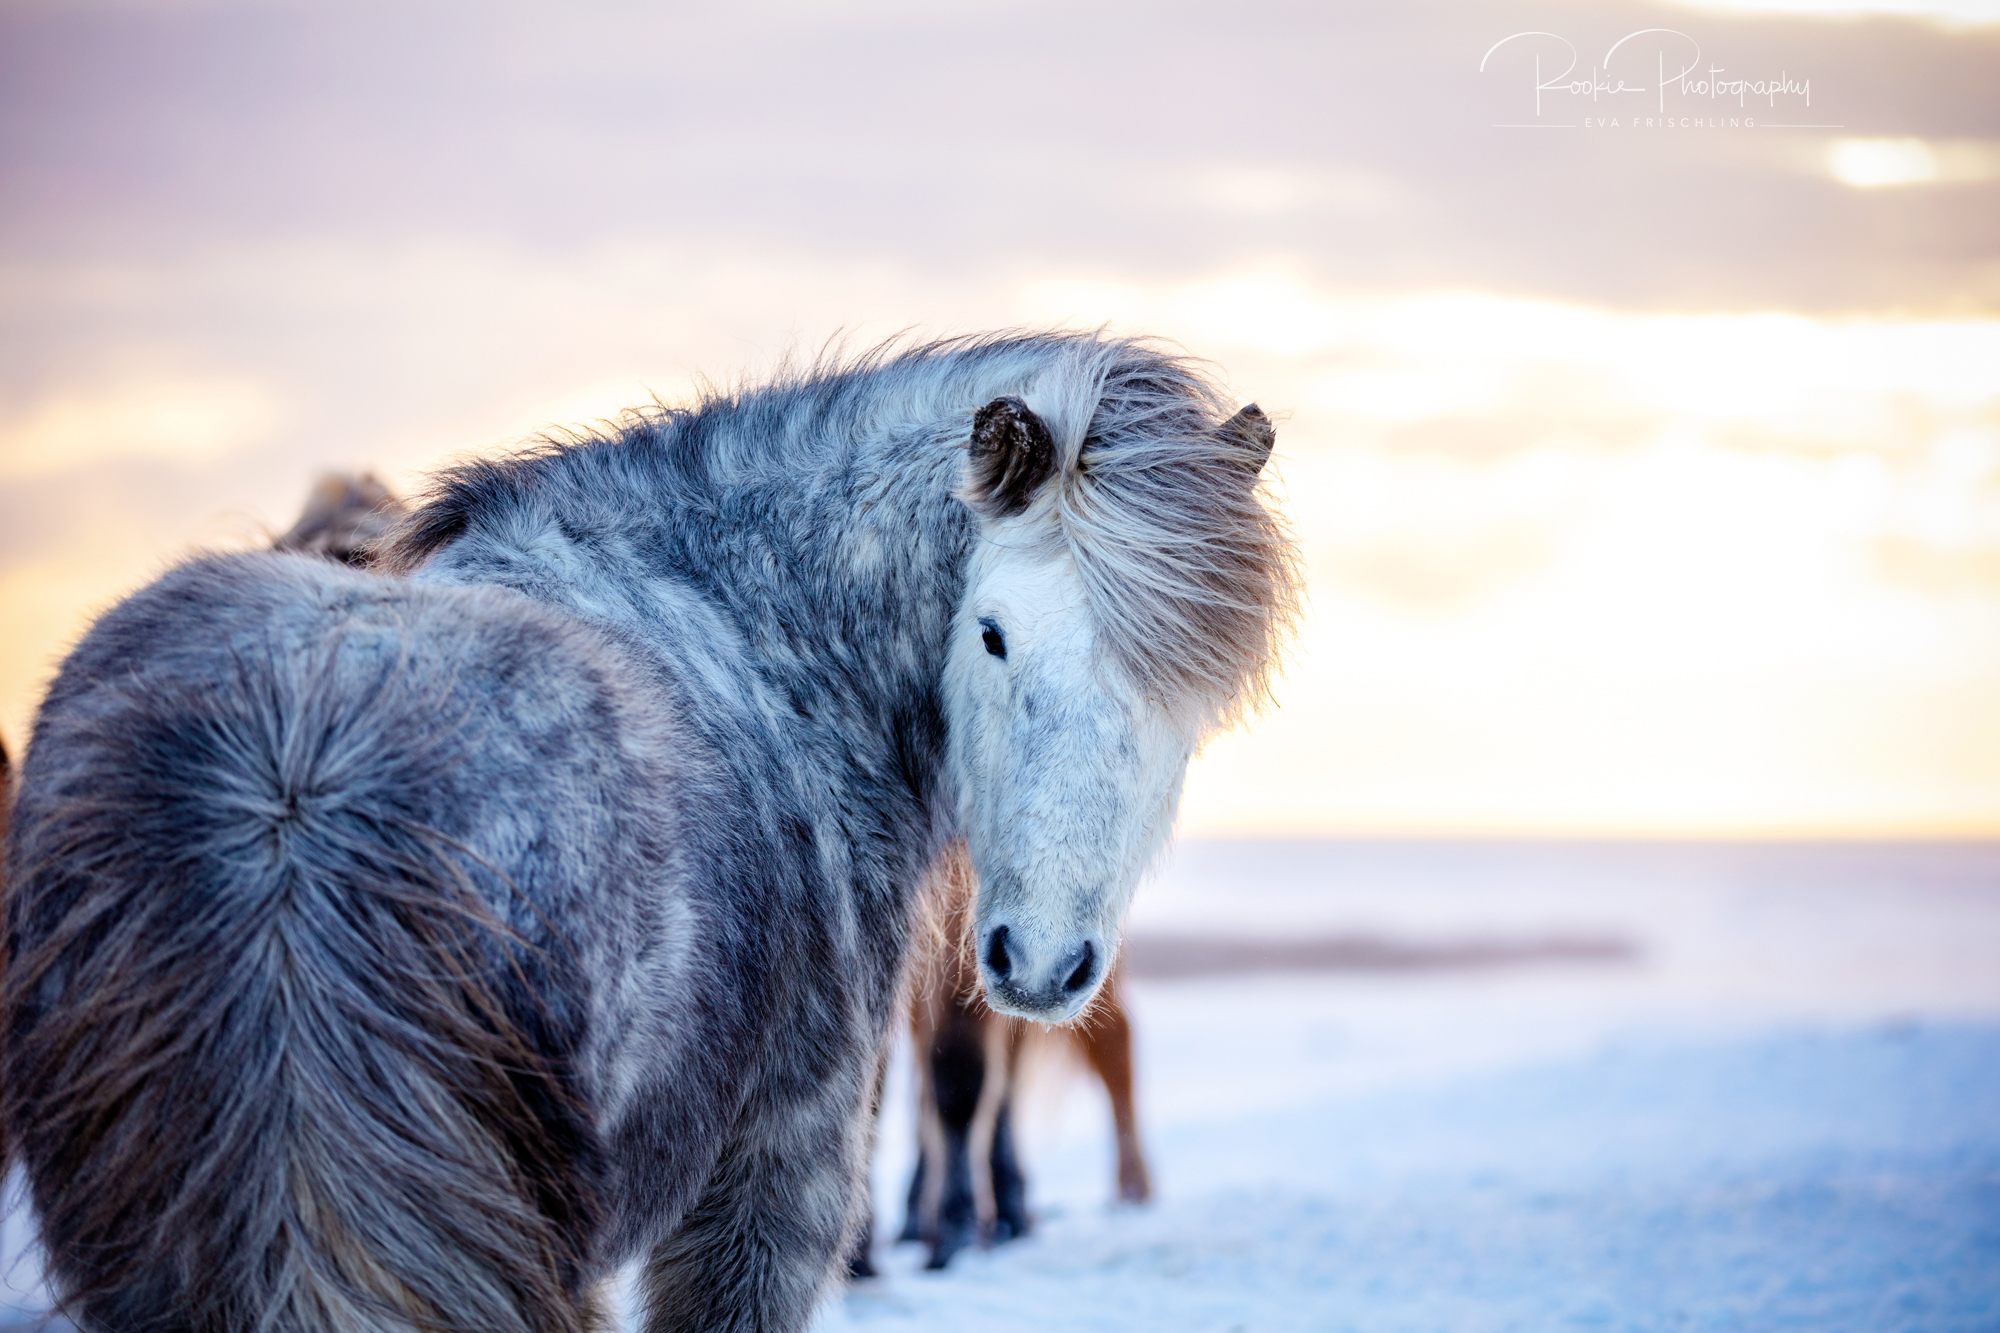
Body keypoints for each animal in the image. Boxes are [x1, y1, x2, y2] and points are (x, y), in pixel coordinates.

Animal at [1, 331, 1298, 1332]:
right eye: (990, 632)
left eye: (1193, 687)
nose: (1036, 961)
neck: (754, 625)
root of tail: (292, 782)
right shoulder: (776, 1179)